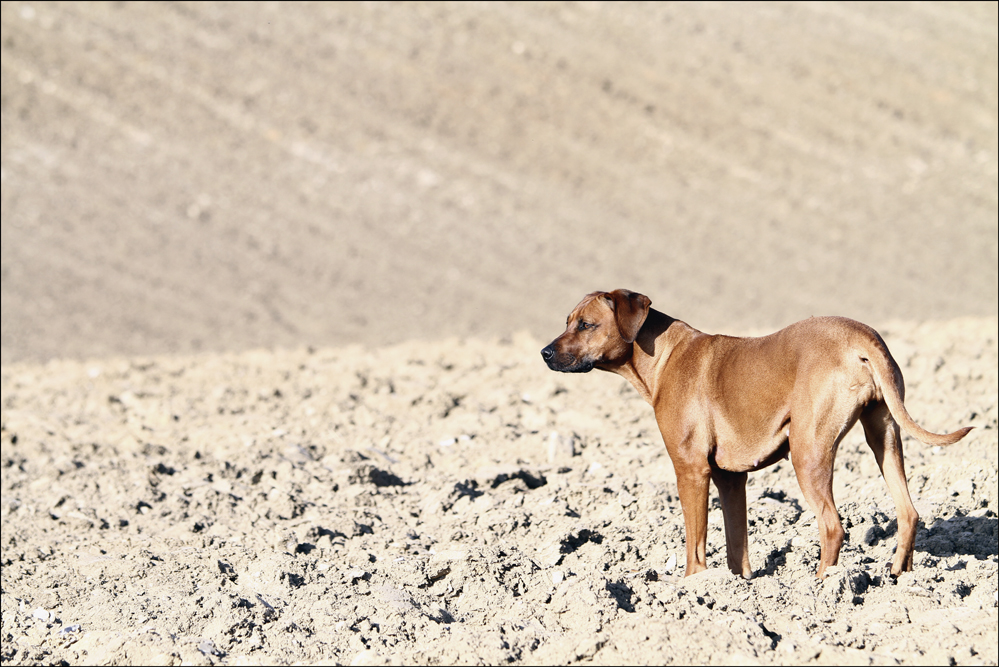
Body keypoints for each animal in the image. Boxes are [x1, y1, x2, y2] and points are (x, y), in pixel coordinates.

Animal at [544, 290, 972, 576]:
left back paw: (824, 588)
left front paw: (692, 587)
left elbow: (695, 545)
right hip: (884, 435)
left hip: (807, 452)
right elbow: (737, 545)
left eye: (586, 324)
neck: (663, 354)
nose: (545, 353)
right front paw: (739, 586)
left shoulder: (691, 470)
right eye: (566, 321)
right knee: (908, 512)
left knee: (833, 526)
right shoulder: (730, 478)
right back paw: (900, 576)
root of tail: (860, 336)